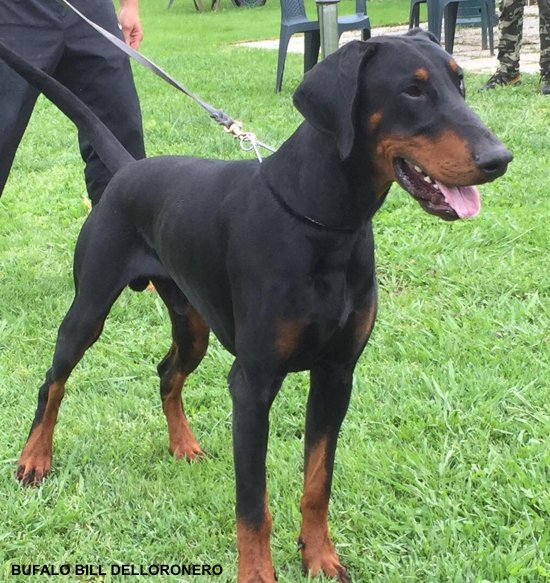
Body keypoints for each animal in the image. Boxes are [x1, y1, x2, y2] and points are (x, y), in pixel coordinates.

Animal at [0, 31, 511, 582]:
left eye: (459, 82)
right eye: (412, 91)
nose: (499, 158)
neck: (320, 220)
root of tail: (129, 170)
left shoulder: (336, 375)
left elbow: (318, 482)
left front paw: (319, 556)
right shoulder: (252, 385)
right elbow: (252, 505)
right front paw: (258, 573)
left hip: (193, 324)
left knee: (167, 372)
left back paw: (183, 444)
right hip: (89, 308)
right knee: (52, 382)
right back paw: (35, 459)